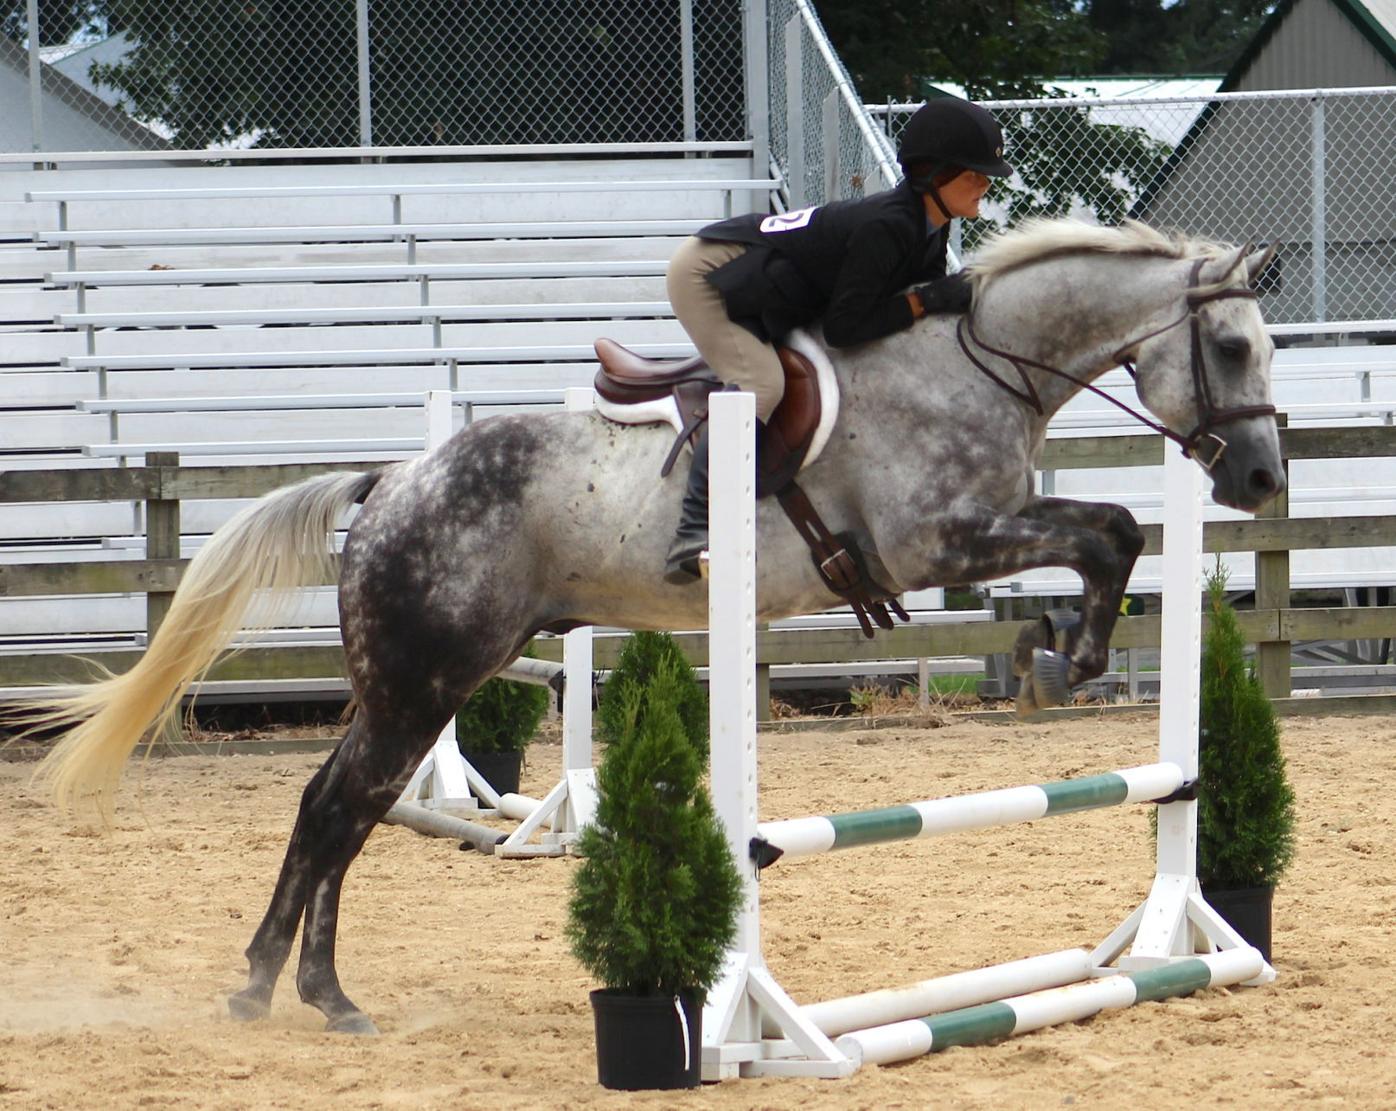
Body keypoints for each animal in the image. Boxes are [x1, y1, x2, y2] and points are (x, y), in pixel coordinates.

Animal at [26, 217, 1284, 1035]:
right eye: (1231, 347)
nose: (1262, 479)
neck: (970, 364)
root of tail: (394, 482)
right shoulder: (942, 541)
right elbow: (1111, 528)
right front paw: (1068, 655)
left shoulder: (973, 536)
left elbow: (1109, 529)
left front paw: (1060, 652)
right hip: (423, 676)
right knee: (339, 805)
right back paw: (291, 992)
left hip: (428, 678)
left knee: (344, 809)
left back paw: (296, 990)